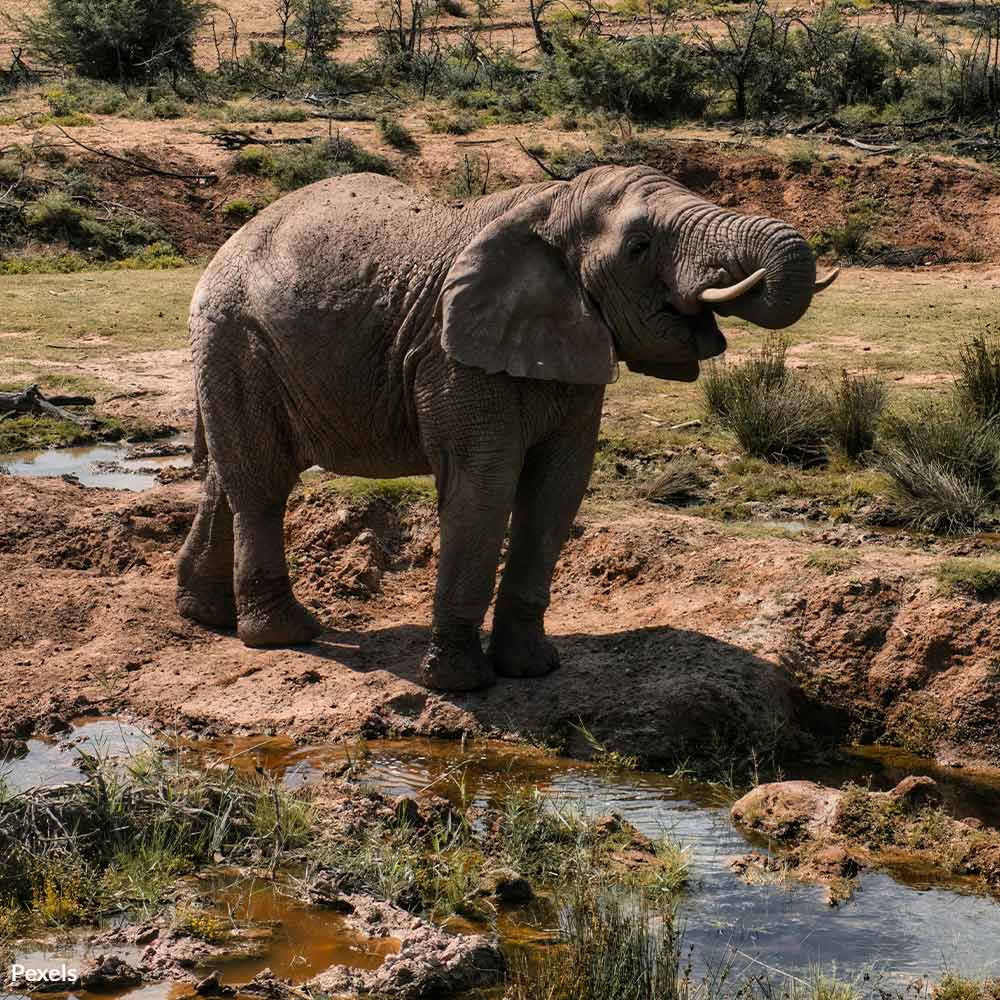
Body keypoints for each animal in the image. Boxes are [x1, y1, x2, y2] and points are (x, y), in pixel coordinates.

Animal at [176, 164, 837, 693]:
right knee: (262, 484)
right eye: (640, 247)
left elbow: (558, 489)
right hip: (237, 337)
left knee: (227, 478)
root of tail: (229, 242)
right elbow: (485, 487)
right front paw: (461, 685)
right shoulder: (453, 356)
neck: (554, 204)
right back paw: (286, 635)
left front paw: (533, 670)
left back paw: (205, 616)